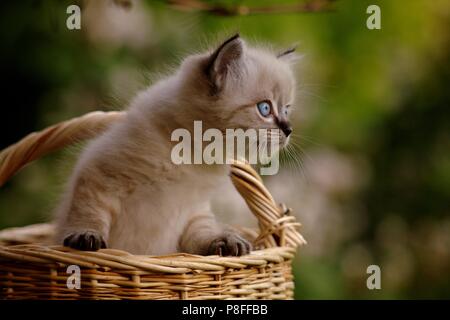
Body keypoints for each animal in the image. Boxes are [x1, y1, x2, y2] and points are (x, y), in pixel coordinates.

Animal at [54, 34, 298, 255]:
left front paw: (227, 242)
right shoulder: (99, 176)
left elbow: (204, 234)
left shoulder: (193, 212)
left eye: (286, 109)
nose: (289, 130)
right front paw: (86, 238)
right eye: (265, 109)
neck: (194, 157)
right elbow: (90, 214)